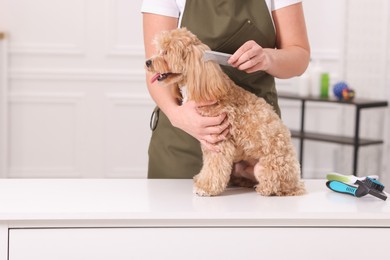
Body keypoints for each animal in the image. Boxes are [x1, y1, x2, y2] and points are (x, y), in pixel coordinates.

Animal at [144, 27, 304, 196]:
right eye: (158, 50)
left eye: (167, 52)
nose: (147, 62)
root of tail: (295, 183)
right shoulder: (209, 141)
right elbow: (208, 165)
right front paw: (201, 179)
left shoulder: (219, 140)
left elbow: (214, 167)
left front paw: (205, 187)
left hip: (266, 169)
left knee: (274, 186)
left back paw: (263, 188)